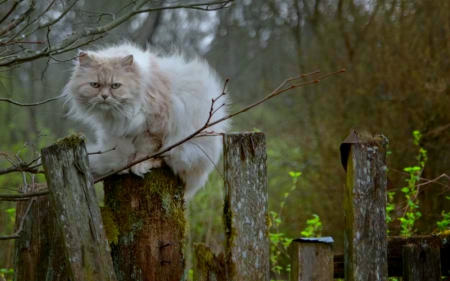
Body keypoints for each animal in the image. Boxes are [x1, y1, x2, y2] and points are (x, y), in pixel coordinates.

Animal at [62, 42, 230, 198]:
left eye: (115, 86)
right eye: (95, 85)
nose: (104, 96)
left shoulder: (153, 127)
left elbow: (145, 150)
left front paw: (139, 165)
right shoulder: (121, 131)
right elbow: (129, 151)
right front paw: (125, 166)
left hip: (185, 149)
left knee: (169, 162)